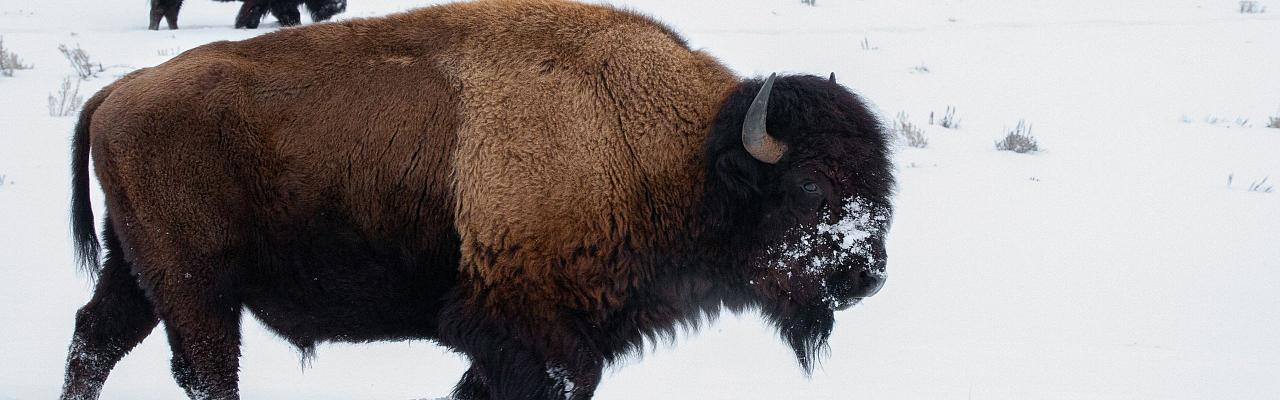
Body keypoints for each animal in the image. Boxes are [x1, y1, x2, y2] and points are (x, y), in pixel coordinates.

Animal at [63, 1, 895, 399]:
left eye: (880, 183)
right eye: (811, 184)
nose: (866, 275)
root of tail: (117, 93)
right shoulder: (531, 332)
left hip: (138, 271)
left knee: (97, 338)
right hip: (195, 284)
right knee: (205, 369)